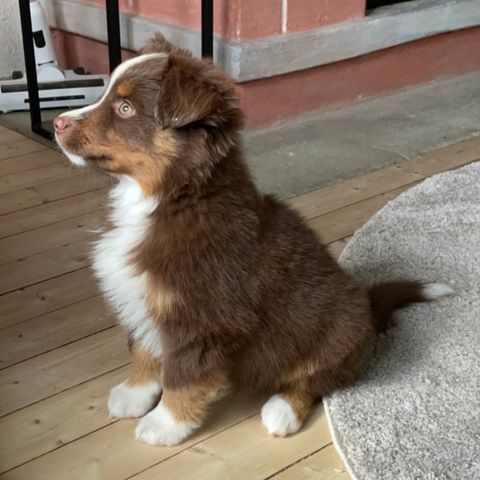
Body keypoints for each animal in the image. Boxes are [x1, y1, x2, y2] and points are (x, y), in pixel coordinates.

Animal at [54, 33, 452, 446]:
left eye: (125, 108)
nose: (56, 123)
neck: (173, 199)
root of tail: (367, 306)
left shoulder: (201, 320)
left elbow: (182, 375)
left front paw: (165, 424)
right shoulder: (147, 301)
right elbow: (145, 349)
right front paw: (135, 393)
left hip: (334, 328)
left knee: (317, 378)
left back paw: (283, 411)